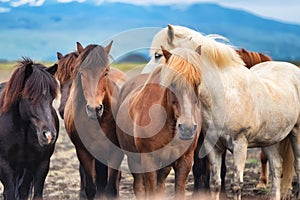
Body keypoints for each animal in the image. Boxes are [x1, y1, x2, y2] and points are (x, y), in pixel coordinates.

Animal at [0, 58, 59, 200]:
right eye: (30, 97)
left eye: (51, 98)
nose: (49, 135)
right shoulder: (5, 165)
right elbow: (9, 193)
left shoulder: (42, 165)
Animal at [63, 41, 126, 198]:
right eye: (82, 73)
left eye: (105, 72)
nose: (94, 109)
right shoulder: (83, 152)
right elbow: (91, 188)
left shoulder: (116, 153)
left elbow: (111, 190)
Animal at [116, 46, 203, 198]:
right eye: (173, 83)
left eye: (197, 83)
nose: (187, 128)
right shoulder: (148, 160)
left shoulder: (184, 161)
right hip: (135, 160)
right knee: (139, 187)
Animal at [144, 25, 300, 200]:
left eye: (157, 55)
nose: (145, 80)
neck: (224, 95)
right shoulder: (213, 146)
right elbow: (215, 182)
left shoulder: (240, 144)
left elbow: (236, 184)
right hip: (269, 140)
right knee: (277, 166)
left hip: (296, 133)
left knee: (297, 165)